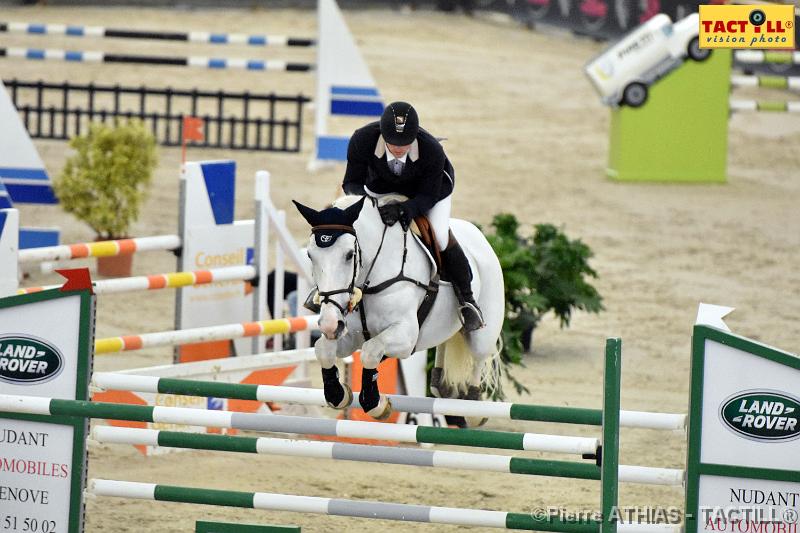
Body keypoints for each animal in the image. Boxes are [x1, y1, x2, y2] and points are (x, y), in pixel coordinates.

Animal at [294, 195, 504, 424]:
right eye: (310, 256)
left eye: (349, 255)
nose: (329, 324)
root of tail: (478, 234)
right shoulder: (351, 335)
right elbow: (323, 349)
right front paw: (338, 394)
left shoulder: (405, 336)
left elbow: (370, 351)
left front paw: (376, 404)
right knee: (445, 343)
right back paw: (440, 384)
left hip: (483, 334)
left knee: (479, 356)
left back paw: (474, 408)